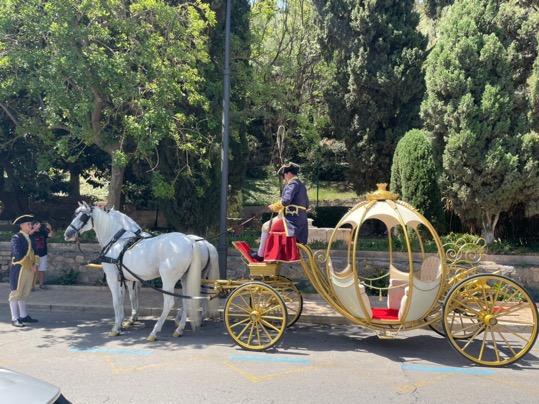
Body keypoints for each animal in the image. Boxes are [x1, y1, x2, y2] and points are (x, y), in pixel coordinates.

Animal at [63, 202, 206, 340]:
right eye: (75, 214)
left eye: (83, 217)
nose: (67, 234)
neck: (115, 241)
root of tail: (190, 242)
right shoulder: (125, 278)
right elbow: (124, 299)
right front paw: (122, 323)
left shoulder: (112, 277)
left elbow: (116, 301)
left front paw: (116, 328)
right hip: (185, 278)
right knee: (186, 300)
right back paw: (179, 329)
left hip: (168, 278)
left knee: (169, 302)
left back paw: (154, 332)